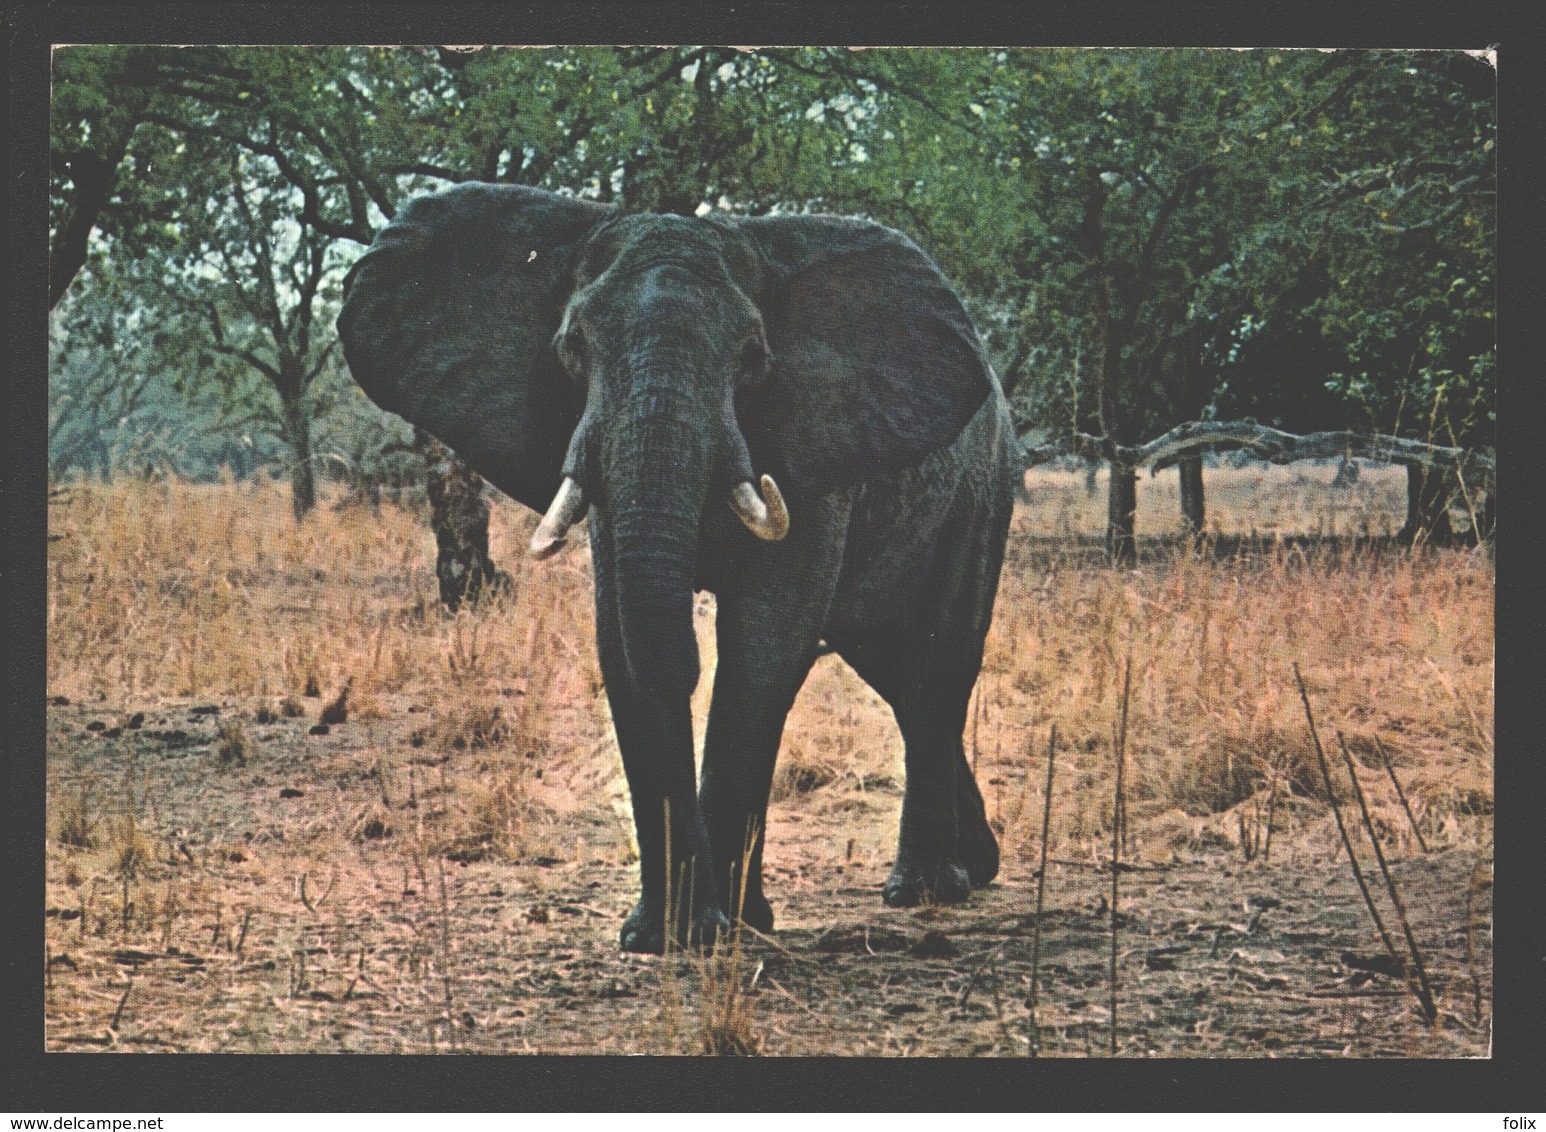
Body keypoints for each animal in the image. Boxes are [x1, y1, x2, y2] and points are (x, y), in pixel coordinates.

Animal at [337, 185, 1014, 952]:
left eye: (752, 357)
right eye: (573, 349)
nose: (688, 658)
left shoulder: (813, 443)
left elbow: (763, 643)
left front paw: (716, 933)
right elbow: (620, 637)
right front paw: (667, 937)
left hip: (983, 490)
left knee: (936, 665)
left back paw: (926, 890)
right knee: (894, 670)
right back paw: (975, 867)